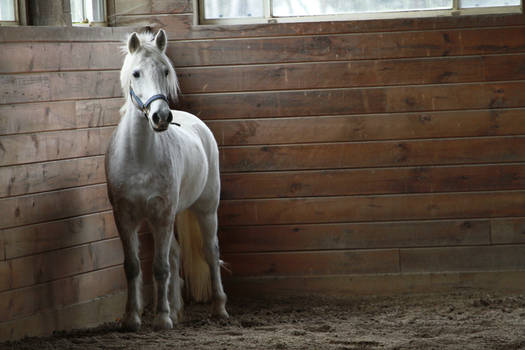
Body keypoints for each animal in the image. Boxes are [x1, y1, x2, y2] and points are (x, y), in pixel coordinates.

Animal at [106, 30, 227, 330]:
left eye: (165, 71)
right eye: (136, 73)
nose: (161, 116)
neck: (138, 156)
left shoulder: (162, 215)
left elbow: (160, 267)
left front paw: (161, 318)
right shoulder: (125, 217)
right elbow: (133, 266)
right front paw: (132, 318)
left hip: (205, 209)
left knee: (210, 251)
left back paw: (219, 308)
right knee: (174, 253)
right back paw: (176, 310)